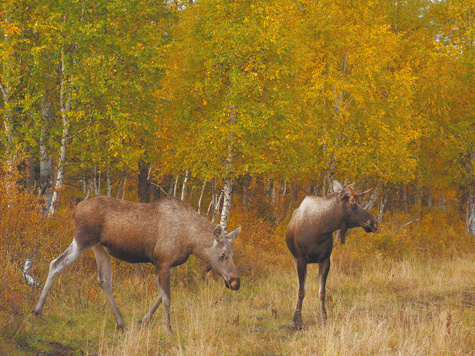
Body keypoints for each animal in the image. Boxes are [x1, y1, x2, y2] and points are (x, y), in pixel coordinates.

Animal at [34, 195, 242, 334]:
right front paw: (169, 329)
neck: (191, 242)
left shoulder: (163, 263)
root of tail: (75, 210)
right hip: (83, 239)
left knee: (104, 280)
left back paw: (122, 323)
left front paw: (144, 321)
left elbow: (160, 295)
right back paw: (38, 310)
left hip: (100, 248)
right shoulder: (164, 261)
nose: (235, 282)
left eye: (233, 254)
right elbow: (167, 298)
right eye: (222, 255)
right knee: (56, 264)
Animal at [286, 182, 380, 330]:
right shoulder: (301, 259)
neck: (321, 229)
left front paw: (324, 318)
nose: (374, 223)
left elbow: (322, 292)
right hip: (295, 259)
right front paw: (298, 321)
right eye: (354, 205)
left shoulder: (325, 259)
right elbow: (301, 291)